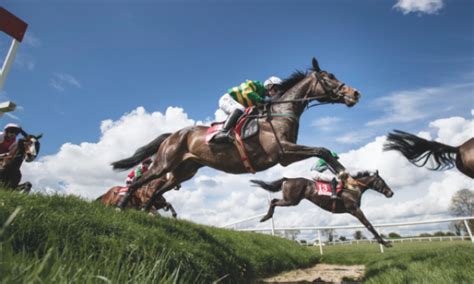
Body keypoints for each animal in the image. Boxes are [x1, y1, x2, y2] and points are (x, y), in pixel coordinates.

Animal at [113, 57, 362, 212]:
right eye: (329, 77)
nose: (355, 93)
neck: (281, 112)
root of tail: (173, 135)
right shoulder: (283, 152)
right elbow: (321, 149)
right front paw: (345, 175)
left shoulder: (287, 155)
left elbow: (323, 150)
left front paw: (346, 175)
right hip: (163, 164)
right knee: (140, 182)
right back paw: (121, 205)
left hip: (183, 172)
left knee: (158, 189)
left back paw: (145, 210)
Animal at [250, 171, 394, 246]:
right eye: (382, 181)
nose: (391, 193)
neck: (353, 189)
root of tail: (288, 179)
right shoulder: (355, 210)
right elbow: (369, 225)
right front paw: (384, 242)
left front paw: (384, 242)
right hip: (291, 201)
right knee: (273, 201)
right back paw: (266, 217)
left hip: (291, 200)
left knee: (273, 201)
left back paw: (265, 217)